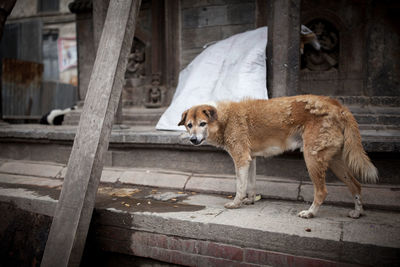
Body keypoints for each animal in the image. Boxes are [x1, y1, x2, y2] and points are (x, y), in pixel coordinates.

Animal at [178, 95, 378, 219]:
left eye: (202, 124)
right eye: (189, 125)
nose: (193, 140)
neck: (223, 118)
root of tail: (338, 106)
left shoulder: (241, 159)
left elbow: (240, 186)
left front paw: (236, 204)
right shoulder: (251, 159)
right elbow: (251, 185)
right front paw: (250, 200)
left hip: (312, 158)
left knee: (322, 191)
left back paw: (310, 213)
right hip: (335, 162)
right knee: (356, 185)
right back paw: (357, 213)